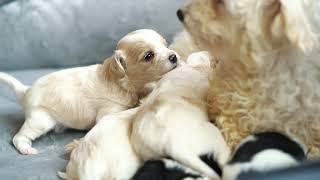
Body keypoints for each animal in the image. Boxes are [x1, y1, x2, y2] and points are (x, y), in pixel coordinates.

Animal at [0, 29, 179, 155]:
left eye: (165, 45)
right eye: (148, 56)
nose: (174, 56)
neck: (122, 81)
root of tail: (26, 91)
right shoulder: (109, 111)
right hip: (40, 120)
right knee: (18, 137)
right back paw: (26, 149)